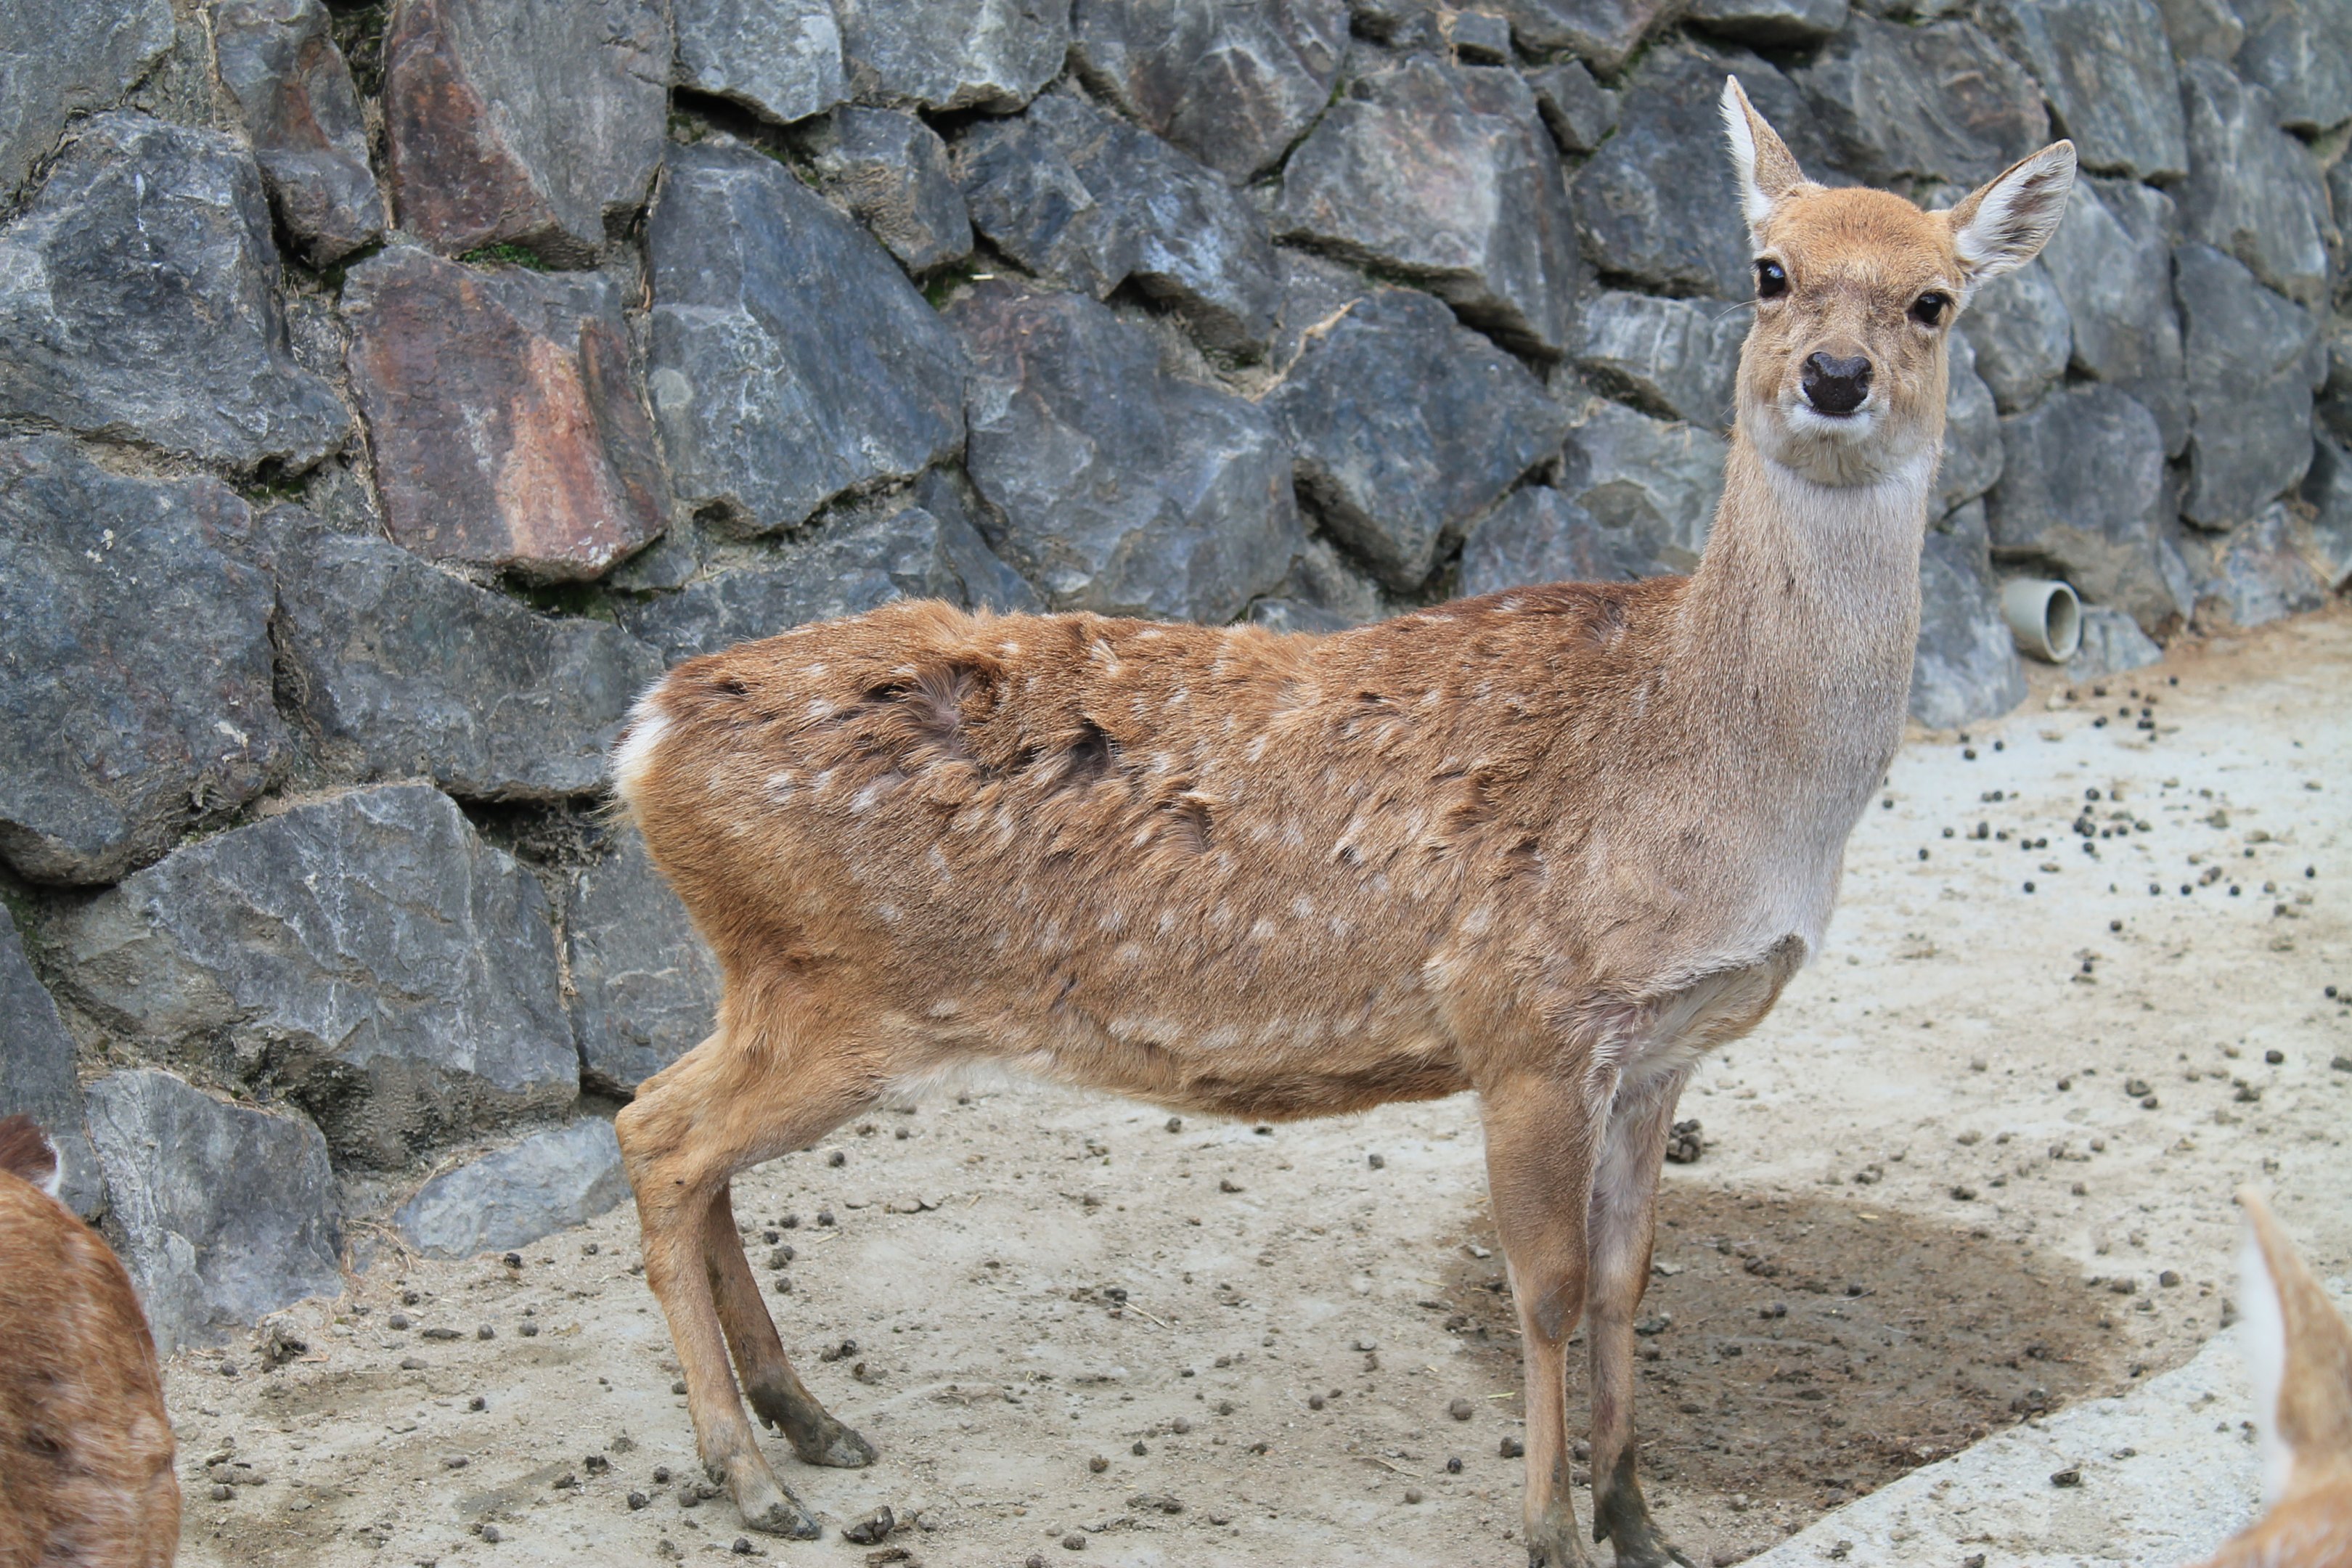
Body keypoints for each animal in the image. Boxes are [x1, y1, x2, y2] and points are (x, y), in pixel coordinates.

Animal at [607, 81, 2077, 1566]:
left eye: (1936, 300)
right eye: (1769, 272)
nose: (1834, 375)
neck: (1722, 783)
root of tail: (645, 732)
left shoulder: (1663, 1047)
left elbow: (1628, 1281)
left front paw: (1641, 1524)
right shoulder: (1524, 1014)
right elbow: (1544, 1290)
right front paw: (1552, 1534)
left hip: (782, 980)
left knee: (673, 1127)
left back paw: (807, 1419)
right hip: (840, 985)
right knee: (658, 1138)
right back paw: (750, 1471)